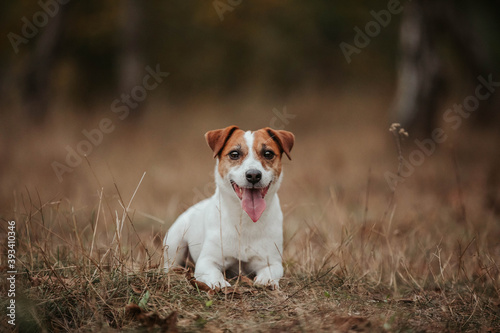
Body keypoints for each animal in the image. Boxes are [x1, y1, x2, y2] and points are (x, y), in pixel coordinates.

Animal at [162, 124, 294, 288]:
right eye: (234, 154)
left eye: (268, 154)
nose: (253, 175)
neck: (244, 218)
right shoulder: (207, 261)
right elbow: (213, 273)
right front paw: (219, 283)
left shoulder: (271, 261)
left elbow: (270, 272)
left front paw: (265, 280)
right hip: (175, 242)